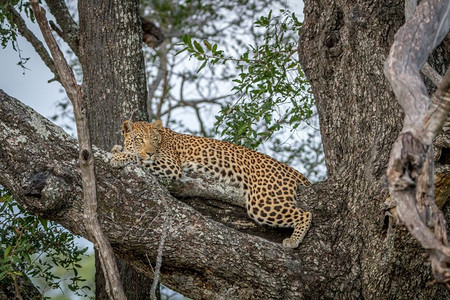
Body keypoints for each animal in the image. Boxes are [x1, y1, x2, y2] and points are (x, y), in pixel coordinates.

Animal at [110, 119, 312, 248]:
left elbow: (138, 158)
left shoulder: (170, 164)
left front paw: (118, 157)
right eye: (138, 140)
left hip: (263, 203)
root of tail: (289, 169)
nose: (151, 152)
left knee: (306, 214)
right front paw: (117, 149)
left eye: (153, 140)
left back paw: (293, 241)